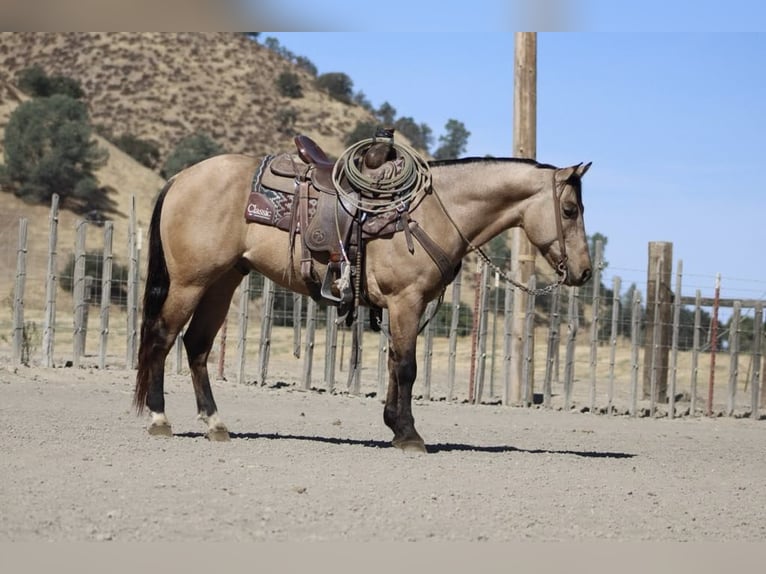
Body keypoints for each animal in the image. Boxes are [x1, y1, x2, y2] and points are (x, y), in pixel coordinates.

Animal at [135, 136, 596, 454]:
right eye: (570, 210)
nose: (585, 271)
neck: (434, 210)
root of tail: (181, 178)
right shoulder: (406, 300)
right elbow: (407, 367)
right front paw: (409, 435)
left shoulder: (400, 307)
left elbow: (394, 363)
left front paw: (394, 425)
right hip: (190, 282)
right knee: (162, 338)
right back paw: (159, 418)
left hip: (223, 281)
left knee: (196, 346)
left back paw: (215, 424)